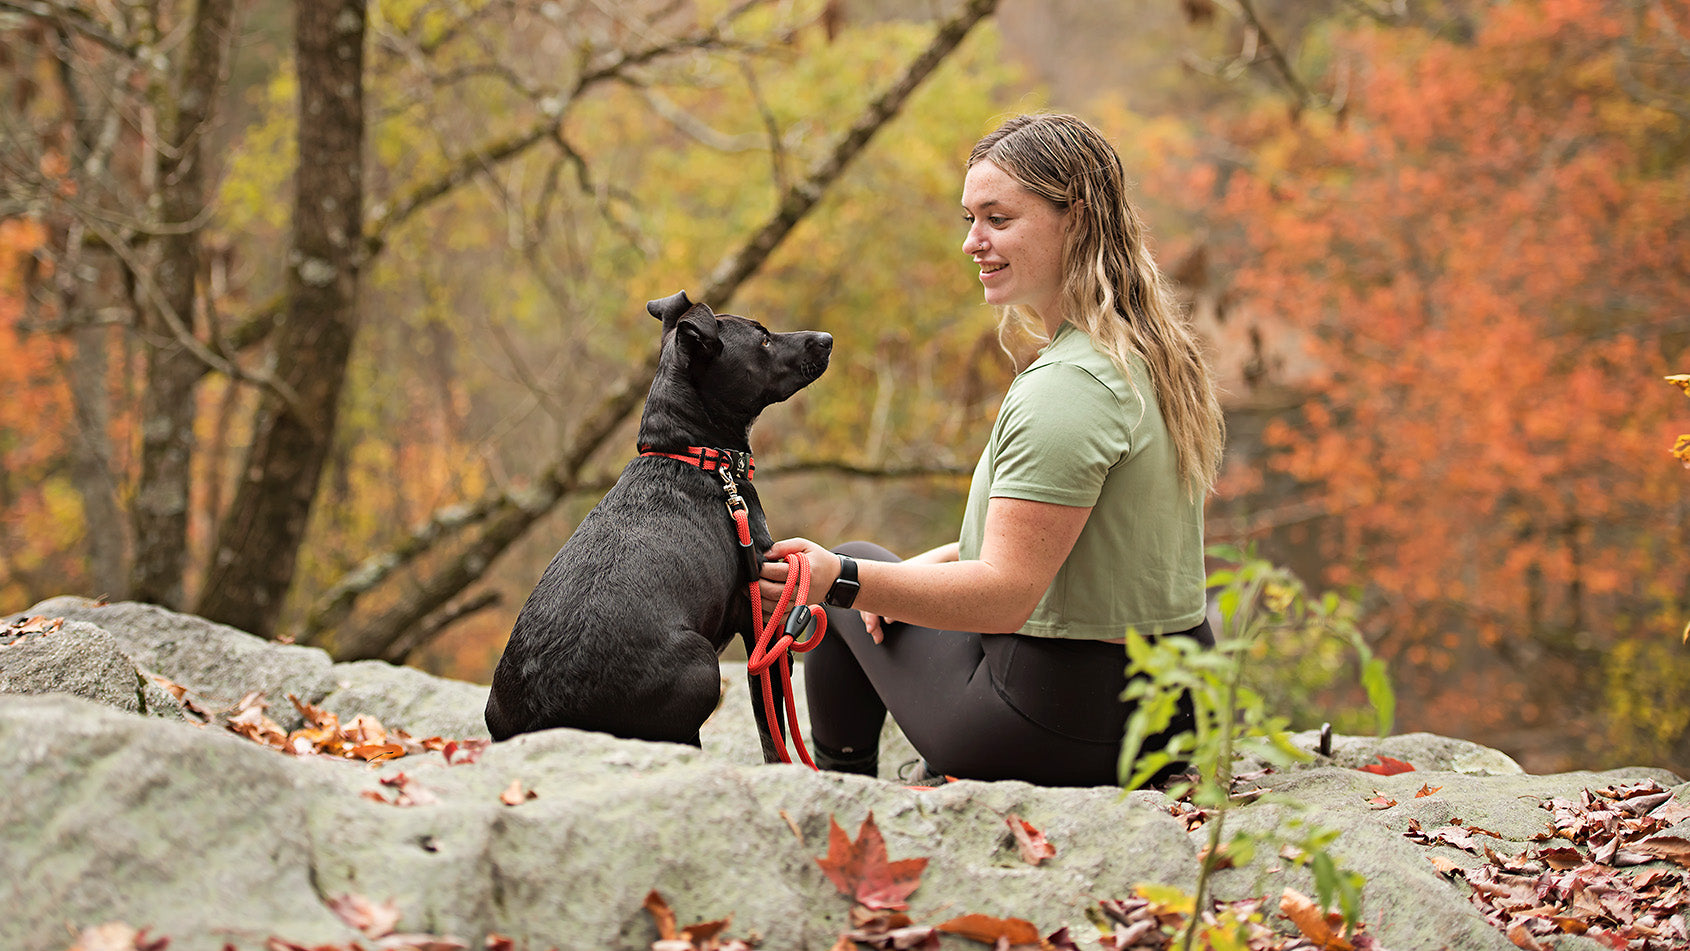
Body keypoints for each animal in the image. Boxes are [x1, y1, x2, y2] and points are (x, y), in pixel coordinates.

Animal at [483, 290, 831, 760]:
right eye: (762, 339)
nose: (827, 338)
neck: (697, 455)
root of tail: (548, 721)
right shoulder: (764, 624)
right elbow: (770, 728)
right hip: (703, 667)